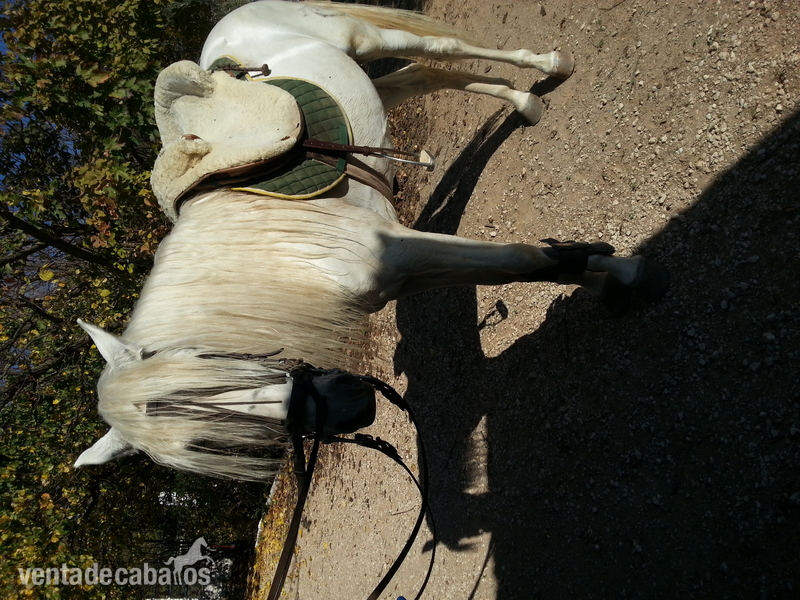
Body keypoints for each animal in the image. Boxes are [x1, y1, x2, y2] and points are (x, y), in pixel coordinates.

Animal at [74, 1, 668, 481]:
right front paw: (598, 274)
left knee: (442, 50)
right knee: (425, 74)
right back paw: (524, 104)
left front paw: (626, 273)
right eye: (206, 442)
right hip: (371, 83)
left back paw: (548, 67)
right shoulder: (402, 270)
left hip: (364, 40)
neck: (284, 261)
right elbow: (519, 266)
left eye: (209, 376)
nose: (355, 404)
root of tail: (234, 17)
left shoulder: (401, 248)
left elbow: (518, 260)